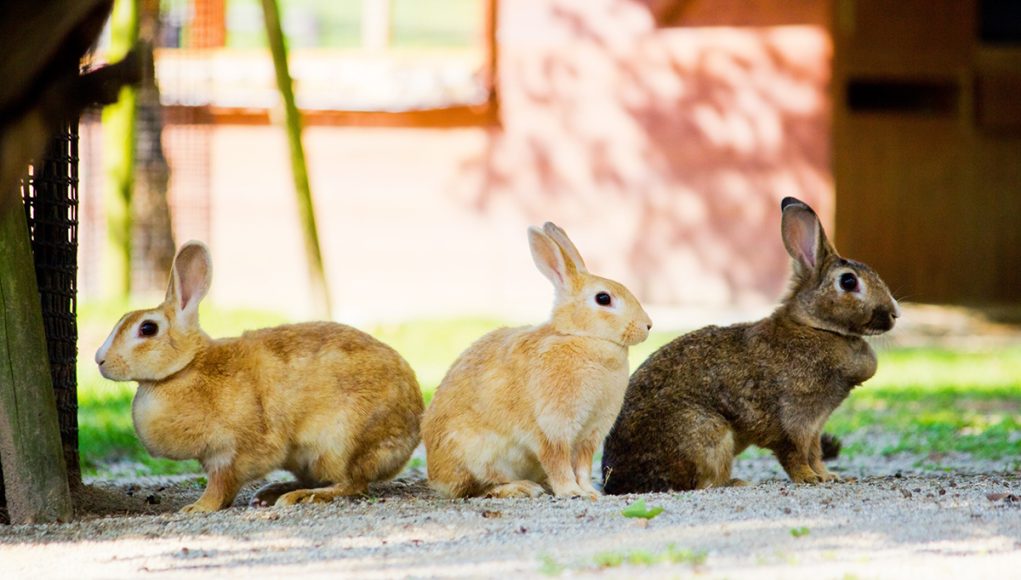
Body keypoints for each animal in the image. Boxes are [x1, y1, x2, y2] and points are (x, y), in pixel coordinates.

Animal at [94, 239, 422, 512]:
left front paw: (196, 508)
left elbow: (220, 486)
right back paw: (270, 493)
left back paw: (297, 497)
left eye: (147, 329)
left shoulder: (231, 453)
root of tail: (413, 425)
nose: (100, 360)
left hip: (340, 443)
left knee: (351, 483)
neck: (185, 368)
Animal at [422, 220, 653, 498]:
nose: (648, 325)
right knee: (480, 486)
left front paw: (590, 493)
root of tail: (437, 477)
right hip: (476, 455)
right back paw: (523, 488)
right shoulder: (553, 428)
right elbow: (558, 462)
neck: (583, 337)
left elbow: (583, 466)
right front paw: (571, 492)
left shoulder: (590, 434)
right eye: (603, 298)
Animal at [600, 198, 898, 494]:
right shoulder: (795, 418)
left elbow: (815, 453)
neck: (816, 326)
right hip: (705, 431)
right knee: (703, 480)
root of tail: (615, 481)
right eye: (848, 281)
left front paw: (829, 476)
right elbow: (795, 453)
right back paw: (736, 482)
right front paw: (809, 478)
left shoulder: (816, 424)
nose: (894, 314)